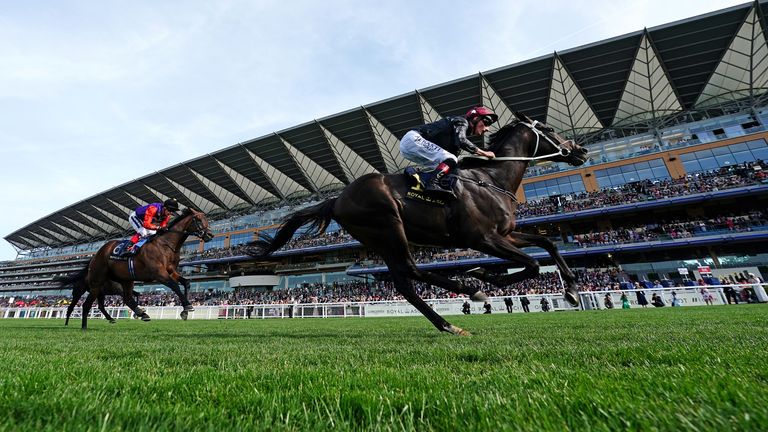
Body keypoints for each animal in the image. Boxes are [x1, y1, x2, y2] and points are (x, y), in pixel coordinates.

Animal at [57, 208, 214, 330]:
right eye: (198, 219)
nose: (210, 235)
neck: (166, 245)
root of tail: (96, 255)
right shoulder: (159, 273)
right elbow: (175, 285)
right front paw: (188, 306)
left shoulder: (171, 271)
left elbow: (186, 282)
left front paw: (185, 311)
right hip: (96, 283)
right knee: (85, 304)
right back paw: (83, 326)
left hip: (125, 279)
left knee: (126, 298)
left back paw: (141, 313)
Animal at [249, 111, 592, 334]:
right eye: (548, 128)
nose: (581, 150)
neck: (491, 179)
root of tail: (337, 198)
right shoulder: (481, 238)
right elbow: (531, 264)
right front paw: (482, 276)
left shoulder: (505, 234)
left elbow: (546, 243)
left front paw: (573, 290)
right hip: (389, 226)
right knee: (410, 270)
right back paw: (467, 289)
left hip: (379, 239)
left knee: (404, 283)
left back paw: (448, 324)